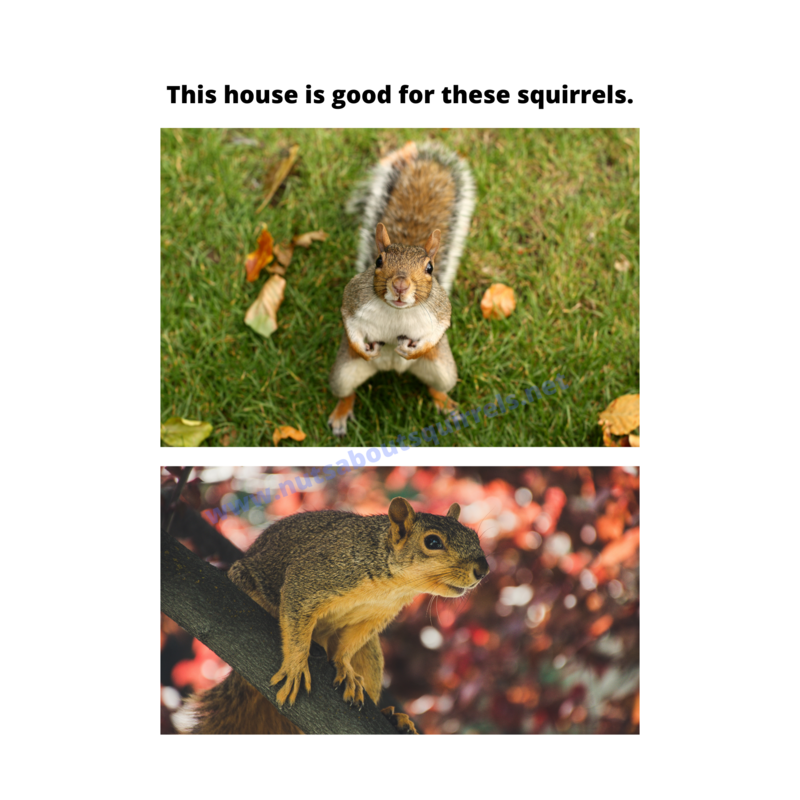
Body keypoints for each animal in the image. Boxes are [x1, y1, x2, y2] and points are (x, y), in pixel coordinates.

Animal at [190, 497, 489, 734]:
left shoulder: (375, 617)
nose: (483, 569)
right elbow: (295, 612)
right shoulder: (312, 575)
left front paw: (345, 668)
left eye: (475, 537)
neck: (393, 587)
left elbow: (348, 646)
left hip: (370, 656)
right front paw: (296, 664)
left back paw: (393, 717)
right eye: (433, 541)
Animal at [328, 141, 476, 437]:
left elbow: (438, 329)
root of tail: (392, 369)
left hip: (444, 370)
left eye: (430, 268)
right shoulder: (353, 299)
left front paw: (414, 350)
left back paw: (447, 405)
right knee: (346, 392)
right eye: (378, 261)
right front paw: (362, 348)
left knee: (437, 387)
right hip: (343, 374)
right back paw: (340, 414)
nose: (400, 285)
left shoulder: (440, 311)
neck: (396, 311)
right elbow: (349, 321)